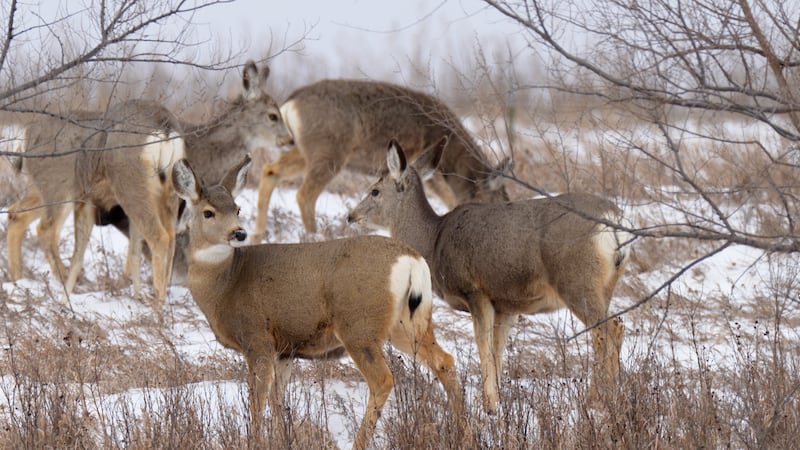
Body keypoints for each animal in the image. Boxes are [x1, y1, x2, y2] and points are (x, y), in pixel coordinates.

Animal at [172, 155, 463, 450]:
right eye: (209, 212)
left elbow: (257, 401)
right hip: (408, 323)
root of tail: (411, 260)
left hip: (359, 325)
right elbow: (278, 400)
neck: (226, 285)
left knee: (383, 380)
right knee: (445, 362)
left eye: (237, 208)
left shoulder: (257, 339)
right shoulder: (285, 349)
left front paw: (256, 440)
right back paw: (465, 432)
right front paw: (283, 438)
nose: (238, 233)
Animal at [252, 78, 510, 241]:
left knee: (270, 170)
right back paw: (313, 237)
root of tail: (289, 104)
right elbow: (449, 197)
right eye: (498, 201)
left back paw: (257, 235)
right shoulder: (425, 163)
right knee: (304, 194)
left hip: (304, 150)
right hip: (328, 151)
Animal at [347, 138, 634, 414]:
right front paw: (497, 401)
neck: (434, 240)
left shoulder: (475, 291)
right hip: (605, 285)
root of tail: (616, 221)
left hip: (576, 280)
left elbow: (483, 347)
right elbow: (497, 351)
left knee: (608, 329)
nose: (351, 216)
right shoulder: (506, 305)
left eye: (375, 190)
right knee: (611, 329)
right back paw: (611, 395)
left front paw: (490, 405)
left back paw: (597, 400)